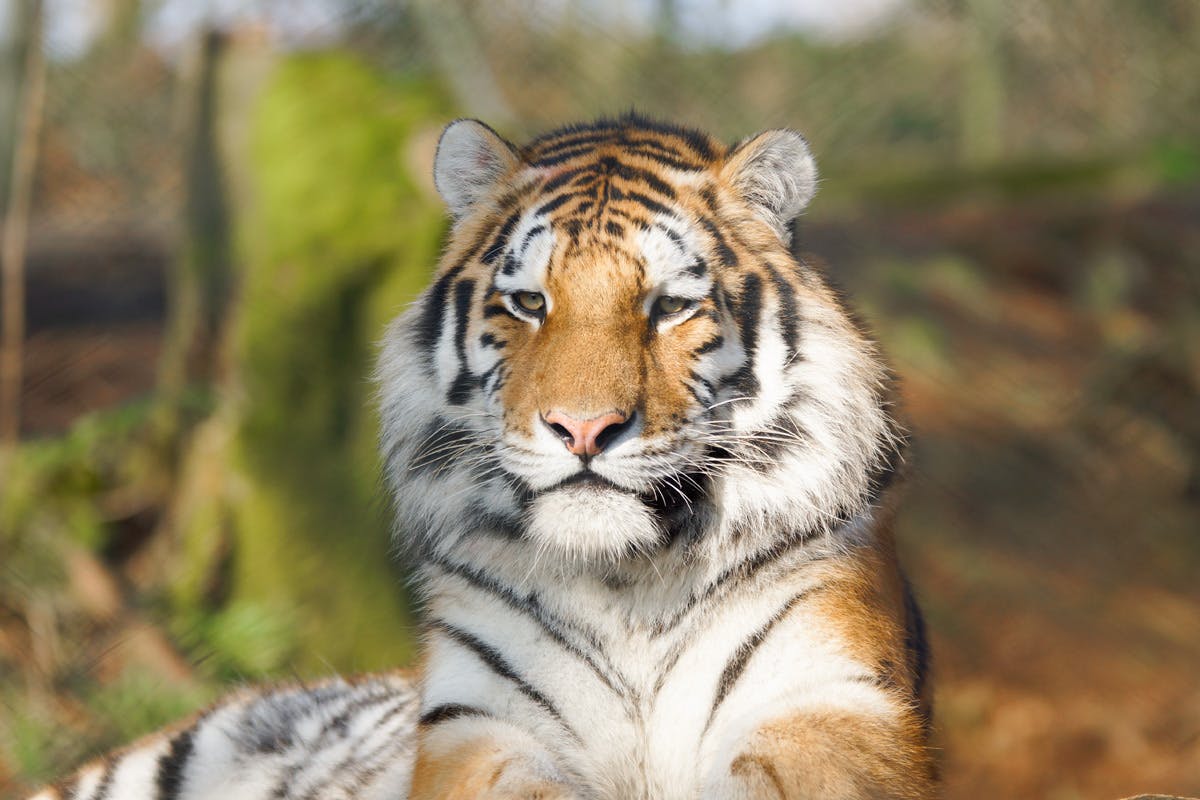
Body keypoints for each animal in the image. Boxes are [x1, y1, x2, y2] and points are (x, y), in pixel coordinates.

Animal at [27, 114, 935, 800]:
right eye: (529, 302)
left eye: (670, 306)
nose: (583, 428)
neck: (626, 586)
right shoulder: (476, 727)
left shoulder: (829, 698)